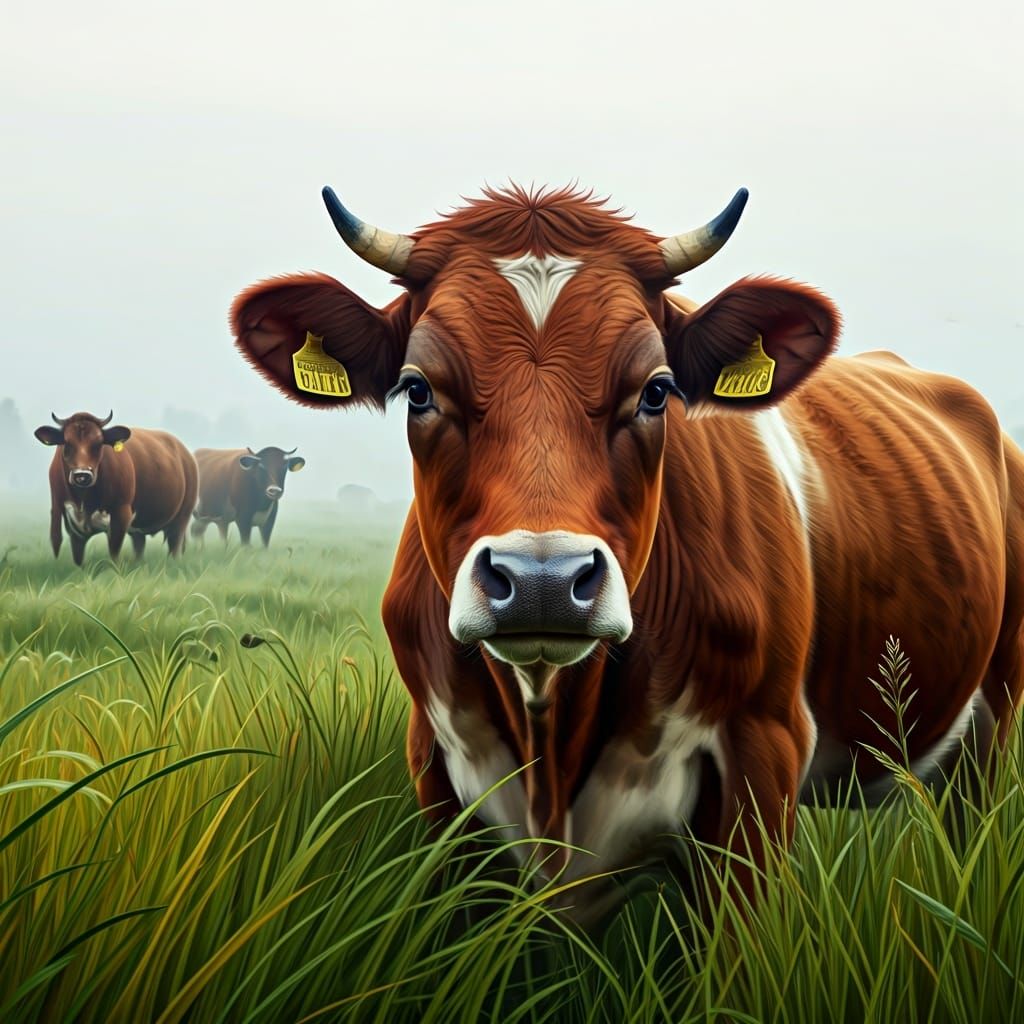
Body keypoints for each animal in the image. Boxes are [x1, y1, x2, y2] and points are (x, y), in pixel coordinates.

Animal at [34, 411, 198, 565]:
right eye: (67, 443)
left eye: (99, 443)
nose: (82, 475)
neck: (84, 500)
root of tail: (184, 451)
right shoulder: (68, 519)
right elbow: (76, 557)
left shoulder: (121, 512)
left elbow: (114, 552)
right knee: (139, 545)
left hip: (183, 516)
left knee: (175, 544)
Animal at [228, 183, 1024, 918]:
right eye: (418, 390)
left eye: (657, 390)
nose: (543, 580)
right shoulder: (435, 765)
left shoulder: (764, 751)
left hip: (992, 721)